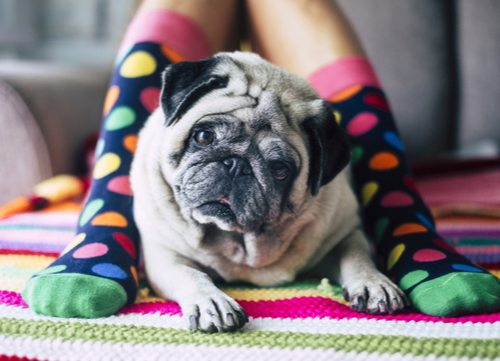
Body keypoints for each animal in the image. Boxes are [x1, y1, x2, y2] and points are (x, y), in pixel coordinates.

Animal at [131, 50, 408, 332]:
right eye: (204, 136)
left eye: (280, 169)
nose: (236, 165)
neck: (238, 242)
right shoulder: (164, 255)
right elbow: (190, 273)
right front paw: (210, 301)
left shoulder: (345, 234)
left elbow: (357, 256)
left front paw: (374, 283)